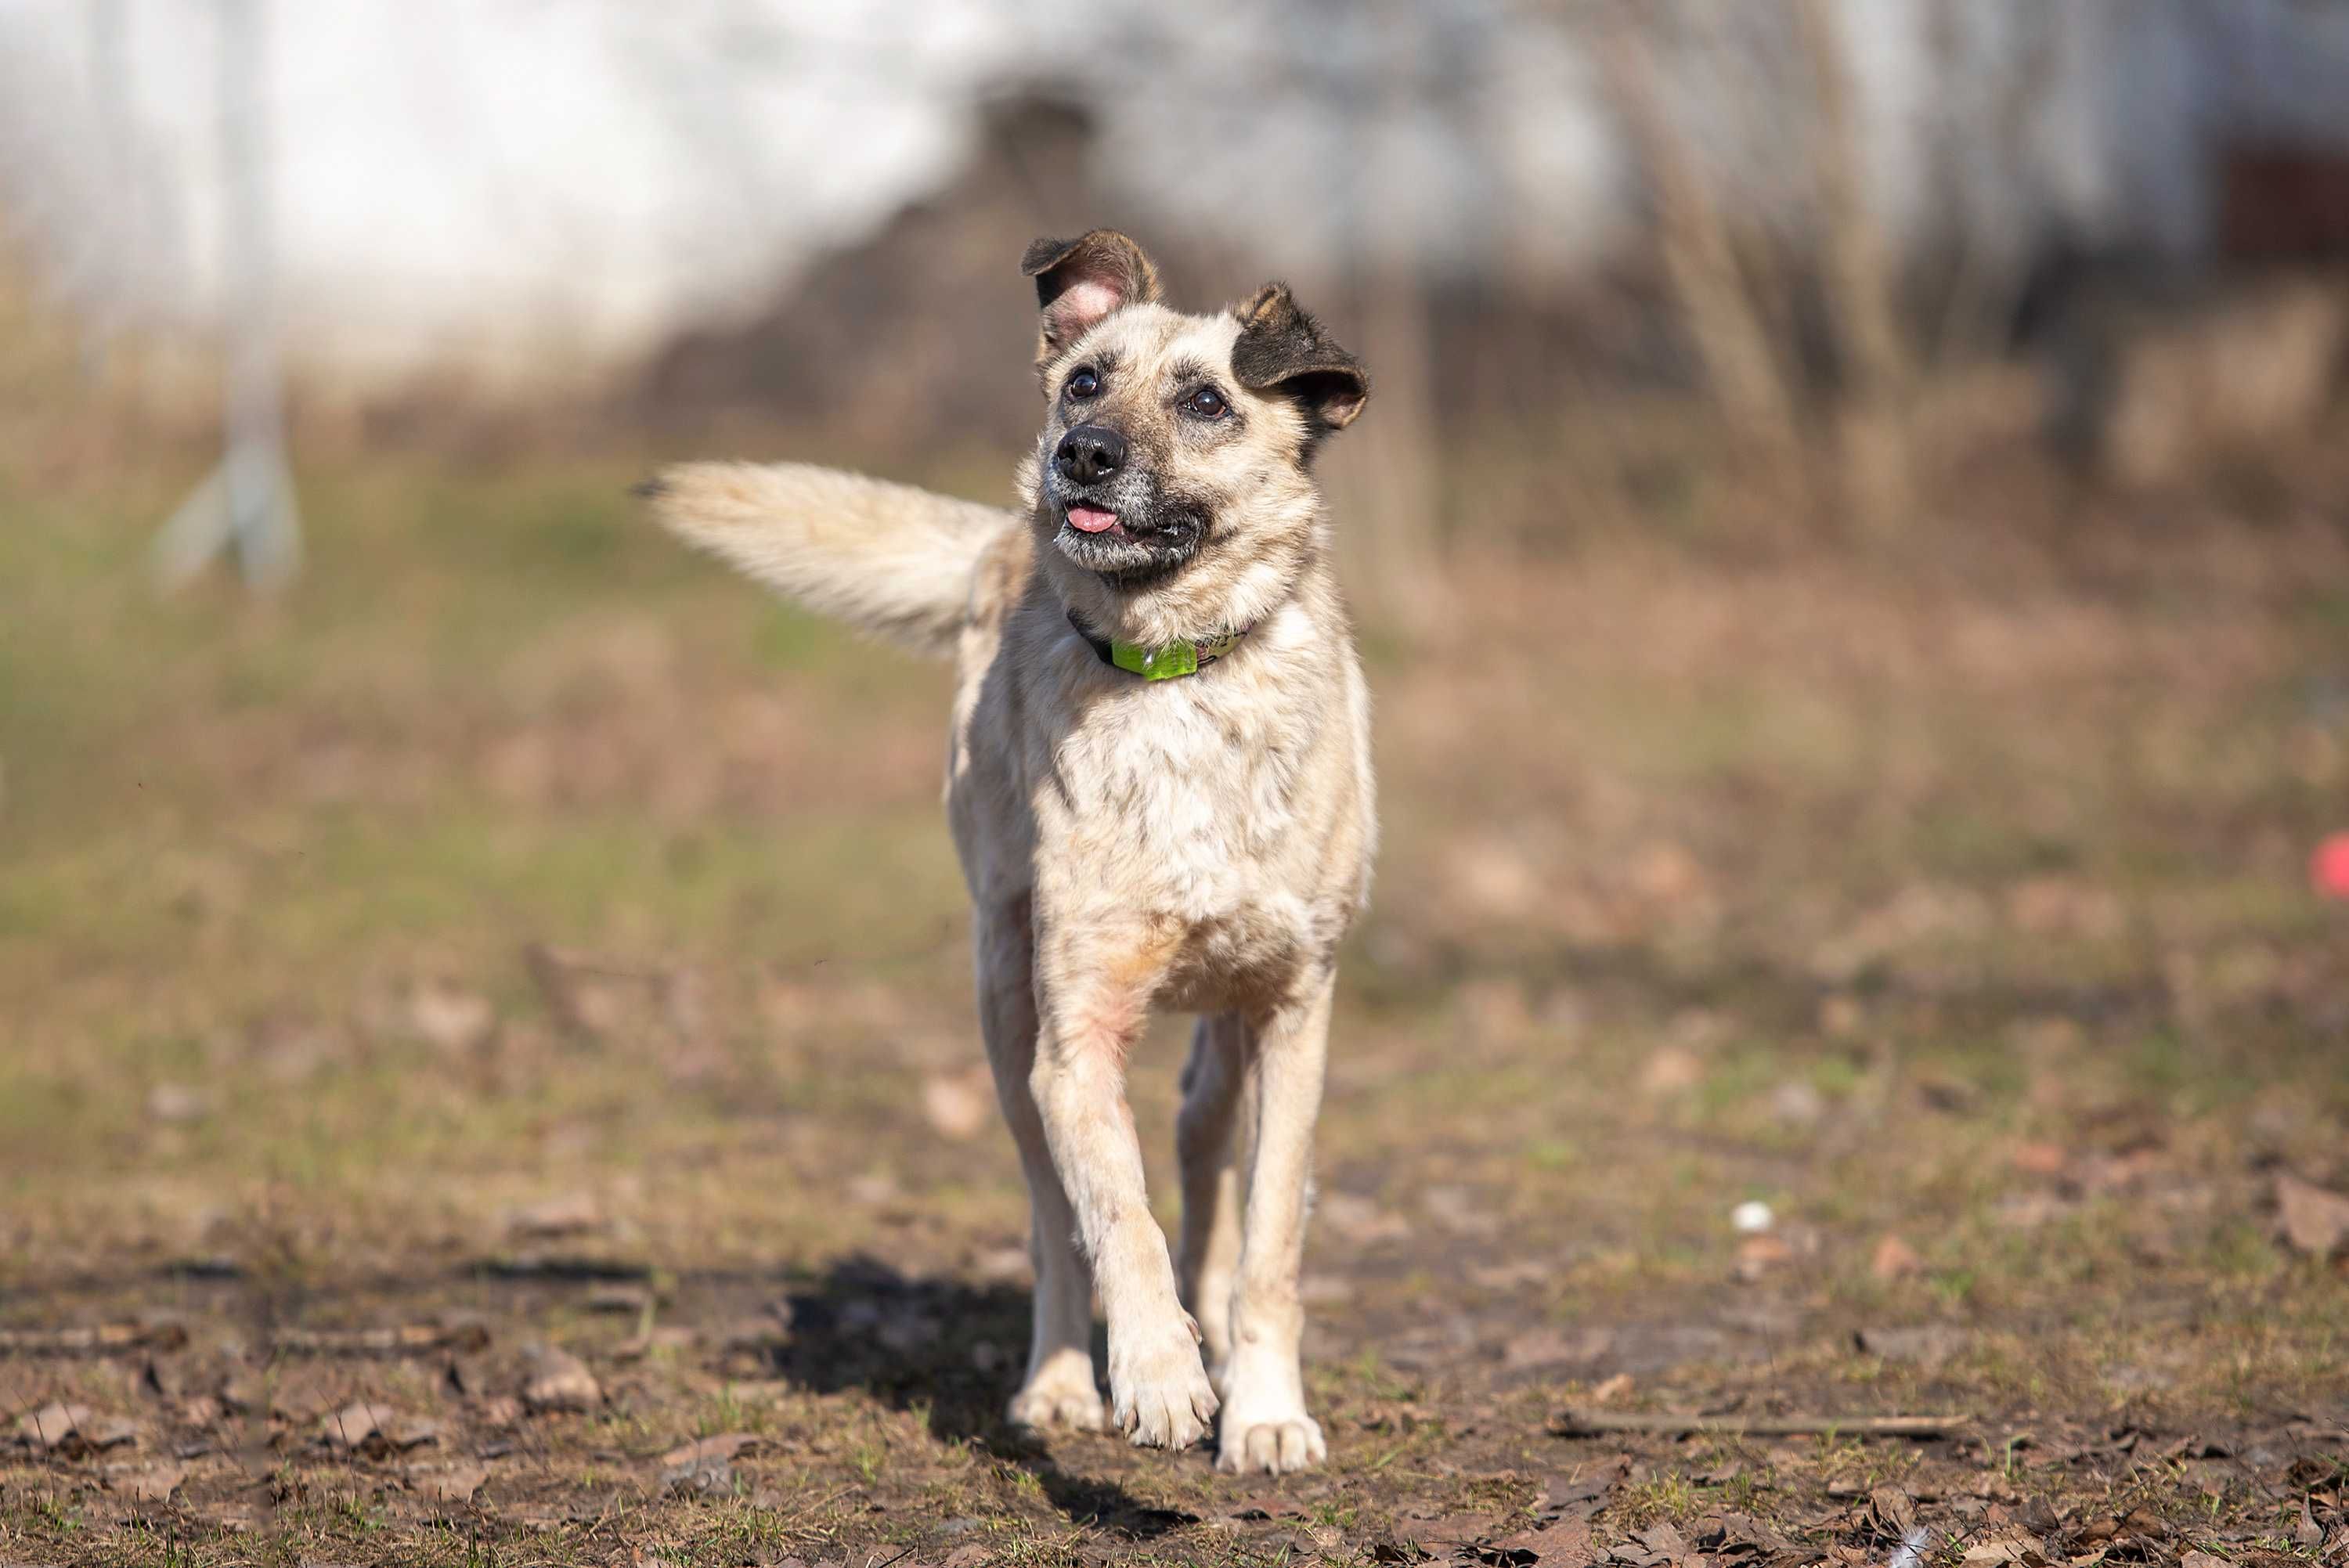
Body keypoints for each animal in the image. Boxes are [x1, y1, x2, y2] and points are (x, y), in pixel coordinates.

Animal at [644, 226, 1372, 1474]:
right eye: (1083, 380)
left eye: (1207, 400)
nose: (1080, 455)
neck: (1173, 673)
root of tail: (998, 543)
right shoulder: (1072, 1044)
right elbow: (1117, 1217)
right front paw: (1160, 1373)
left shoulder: (1294, 1017)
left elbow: (1270, 1238)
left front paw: (1266, 1407)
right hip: (1003, 1003)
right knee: (1053, 1214)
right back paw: (1066, 1379)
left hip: (1225, 1026)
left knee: (1202, 1145)